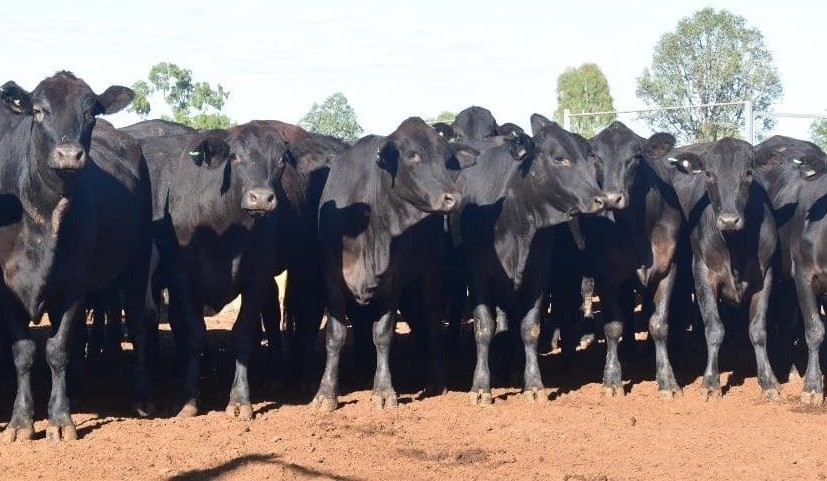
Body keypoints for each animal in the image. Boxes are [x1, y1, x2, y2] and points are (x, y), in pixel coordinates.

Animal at [0, 72, 153, 442]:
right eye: (38, 110)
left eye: (90, 113)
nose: (69, 155)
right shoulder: (6, 288)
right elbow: (23, 352)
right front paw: (21, 421)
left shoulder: (74, 286)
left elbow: (57, 350)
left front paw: (60, 418)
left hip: (137, 263)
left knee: (138, 325)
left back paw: (141, 396)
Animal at [311, 117, 477, 412]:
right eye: (413, 155)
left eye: (448, 160)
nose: (453, 198)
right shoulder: (332, 279)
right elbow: (335, 335)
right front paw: (326, 393)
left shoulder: (393, 281)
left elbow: (383, 333)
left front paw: (384, 391)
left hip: (431, 273)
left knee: (432, 320)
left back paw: (436, 380)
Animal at [454, 114, 608, 406]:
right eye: (559, 158)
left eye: (589, 156)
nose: (600, 199)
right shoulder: (478, 276)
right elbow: (484, 327)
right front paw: (480, 387)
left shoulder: (538, 276)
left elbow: (530, 328)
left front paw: (534, 384)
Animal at [668, 138, 779, 400]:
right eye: (709, 173)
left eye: (748, 173)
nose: (729, 220)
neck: (734, 245)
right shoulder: (703, 273)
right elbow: (714, 328)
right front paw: (710, 382)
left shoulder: (765, 275)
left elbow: (758, 330)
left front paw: (768, 381)